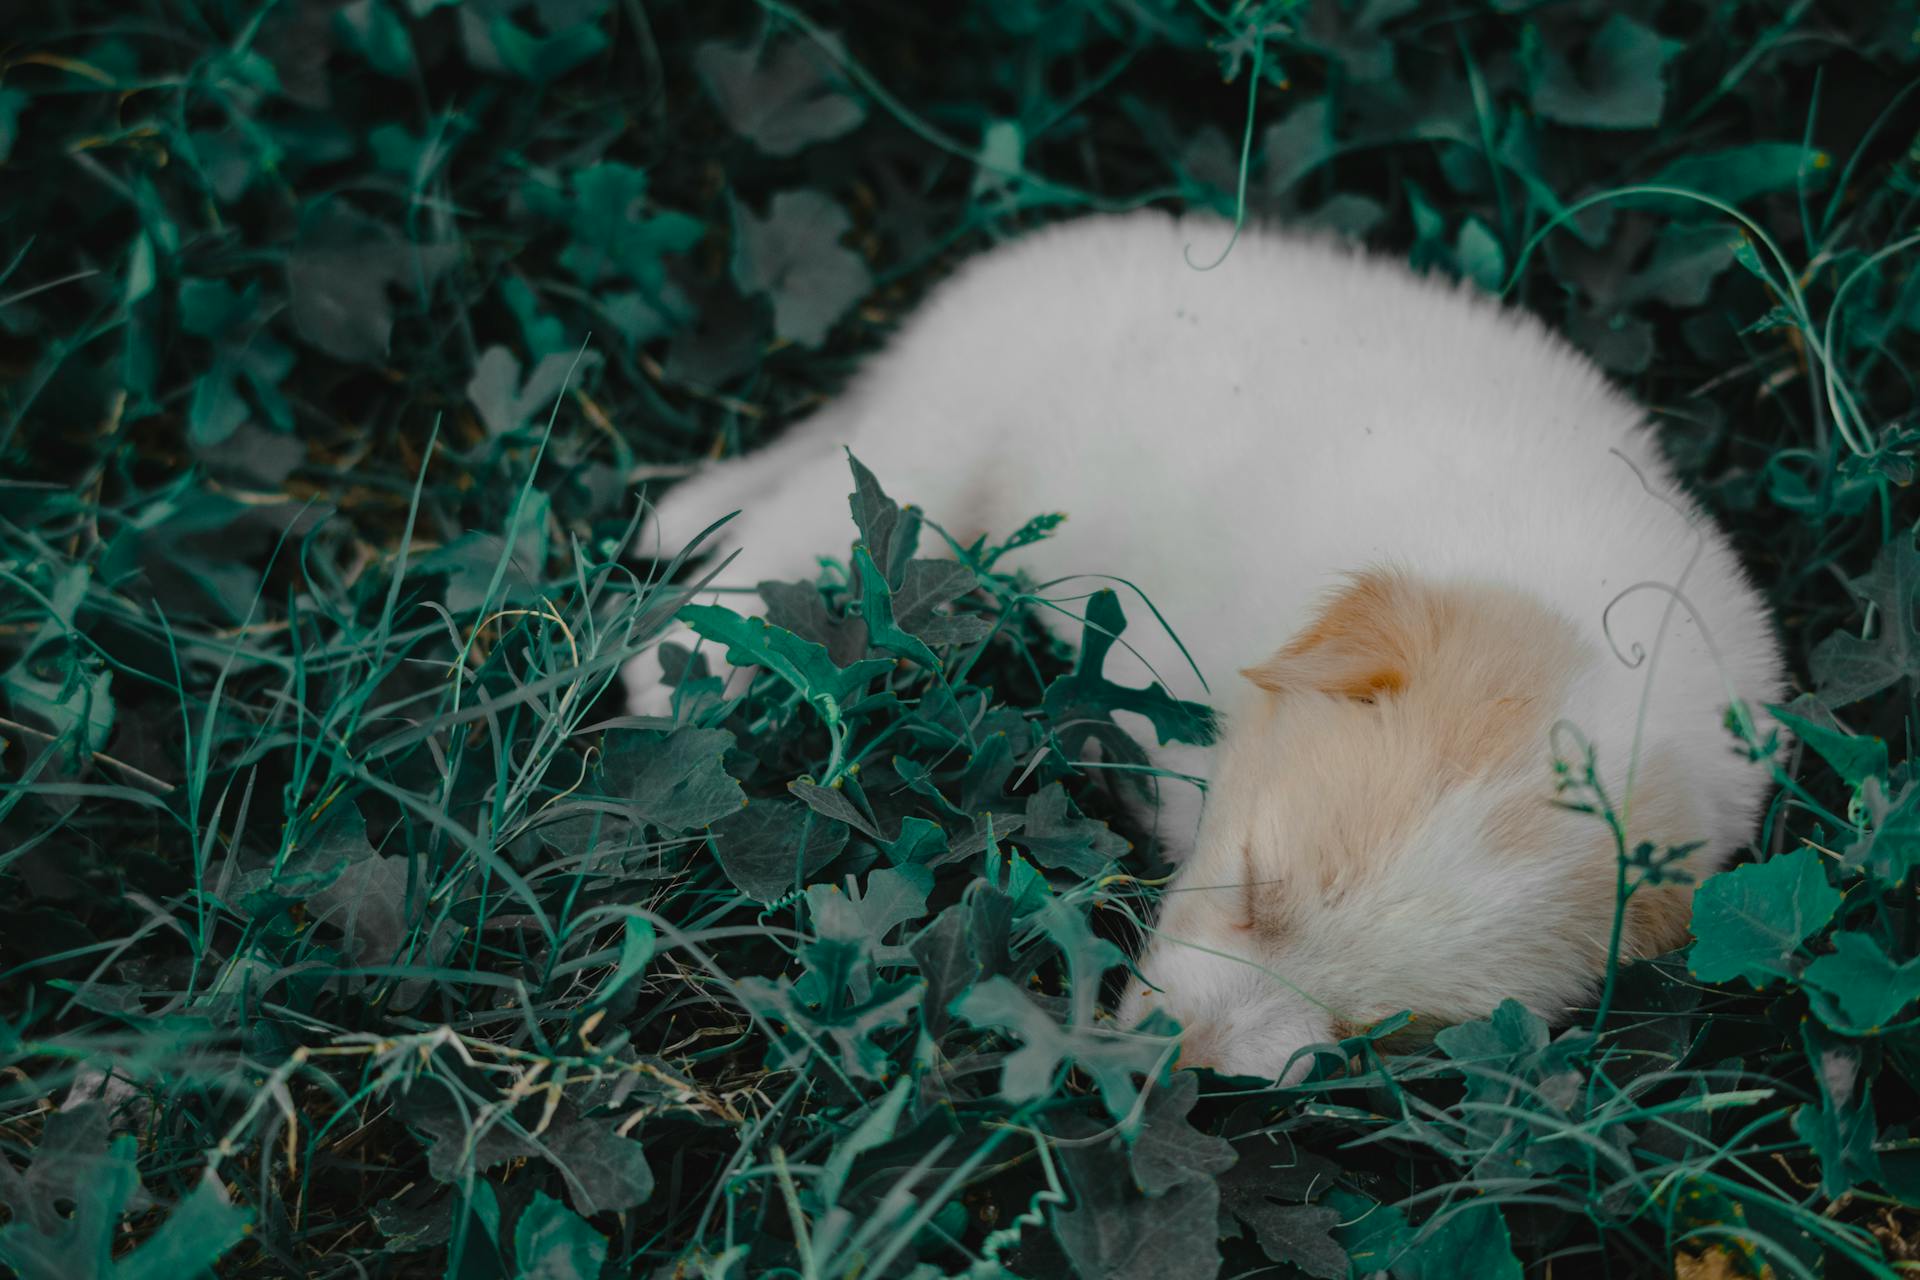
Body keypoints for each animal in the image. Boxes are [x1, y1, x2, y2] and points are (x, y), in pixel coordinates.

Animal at [629, 210, 1781, 1082]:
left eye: (1383, 1029)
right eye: (1258, 889)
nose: (1163, 1065)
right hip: (928, 467)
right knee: (778, 547)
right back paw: (678, 679)